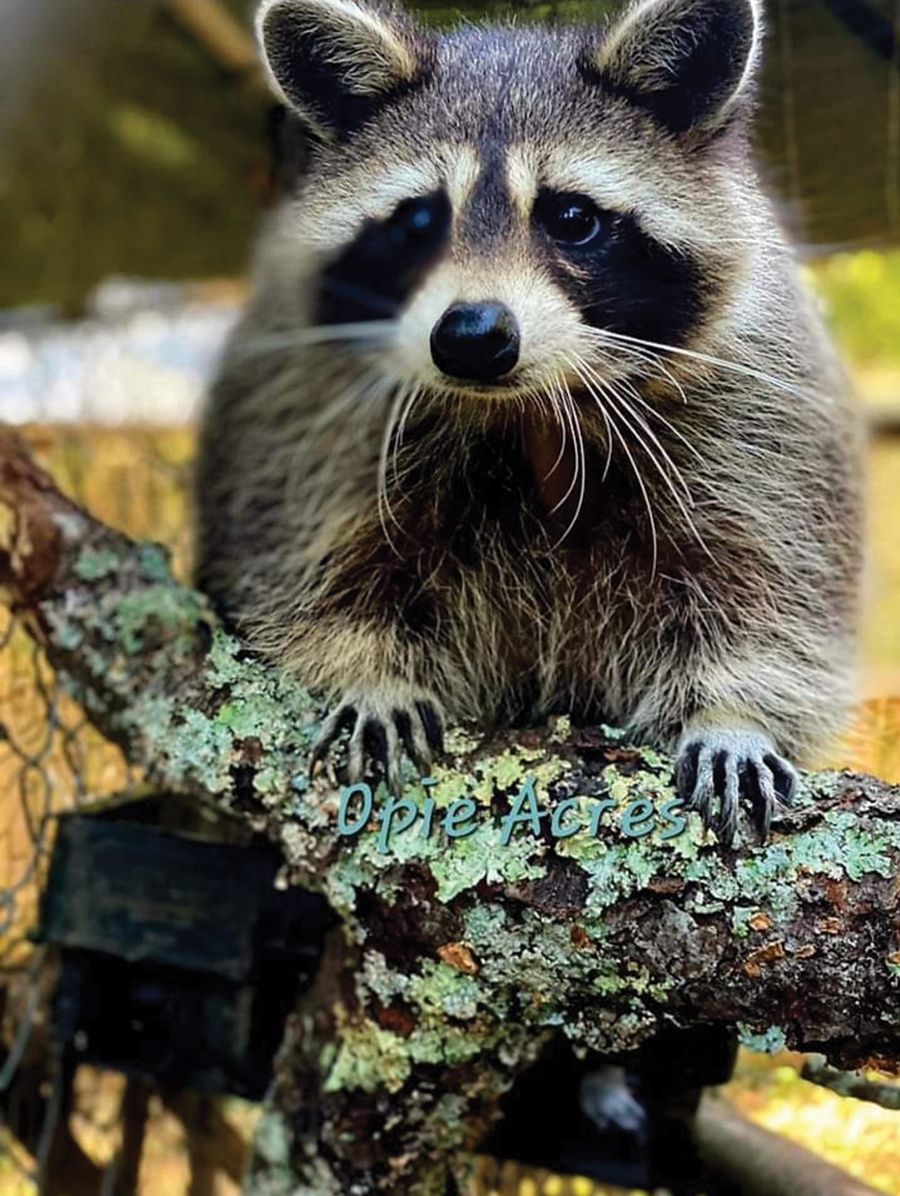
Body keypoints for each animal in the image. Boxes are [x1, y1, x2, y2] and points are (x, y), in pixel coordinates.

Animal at [196, 0, 862, 845]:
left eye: (572, 217)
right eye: (417, 222)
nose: (472, 336)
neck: (522, 411)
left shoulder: (761, 406)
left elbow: (777, 589)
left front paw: (735, 712)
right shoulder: (298, 413)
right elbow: (304, 570)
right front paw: (366, 671)